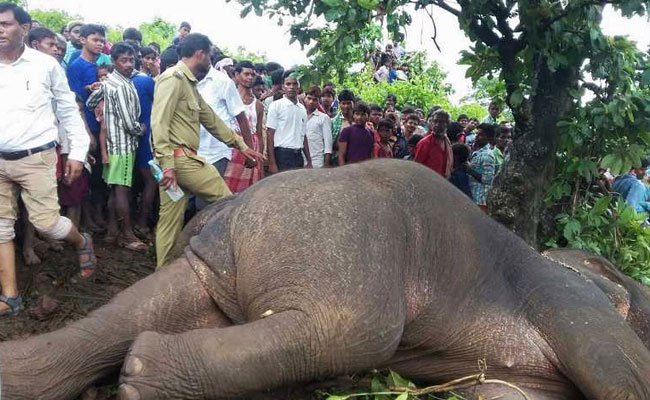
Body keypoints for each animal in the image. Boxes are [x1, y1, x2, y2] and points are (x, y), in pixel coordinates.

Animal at [0, 159, 649, 400]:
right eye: (628, 281)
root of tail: (229, 205)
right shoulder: (572, 297)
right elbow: (623, 373)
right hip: (343, 243)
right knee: (350, 333)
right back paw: (141, 378)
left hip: (240, 250)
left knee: (159, 302)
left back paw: (35, 376)